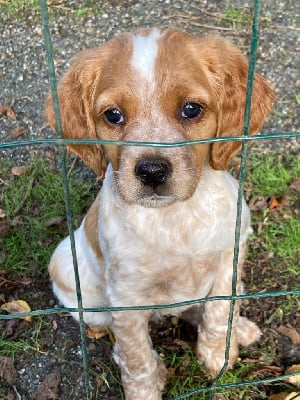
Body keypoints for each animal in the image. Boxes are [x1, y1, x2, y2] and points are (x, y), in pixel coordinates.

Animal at [45, 28, 274, 400]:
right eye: (113, 115)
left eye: (191, 109)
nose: (152, 171)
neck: (174, 217)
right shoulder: (124, 298)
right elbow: (135, 356)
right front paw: (146, 389)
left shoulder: (231, 254)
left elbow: (220, 308)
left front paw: (217, 355)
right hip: (70, 273)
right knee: (118, 340)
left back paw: (238, 328)